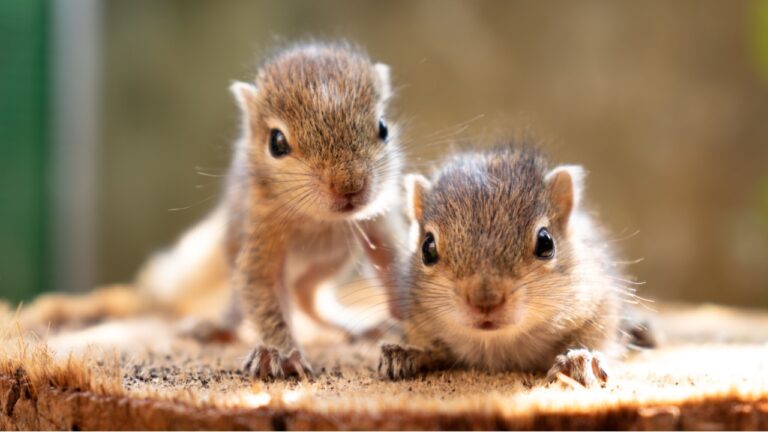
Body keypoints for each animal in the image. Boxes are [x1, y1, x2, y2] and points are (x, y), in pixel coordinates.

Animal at [139, 42, 406, 380]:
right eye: (276, 142)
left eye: (383, 127)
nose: (350, 186)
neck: (319, 219)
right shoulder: (261, 229)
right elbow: (263, 293)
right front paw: (281, 354)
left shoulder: (380, 219)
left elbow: (393, 262)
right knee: (248, 304)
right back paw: (218, 327)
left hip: (330, 261)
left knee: (307, 296)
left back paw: (357, 327)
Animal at [378, 144, 651, 387]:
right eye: (428, 248)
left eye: (545, 242)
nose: (485, 301)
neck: (495, 343)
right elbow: (433, 348)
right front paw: (404, 353)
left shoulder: (600, 305)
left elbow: (595, 338)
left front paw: (580, 360)